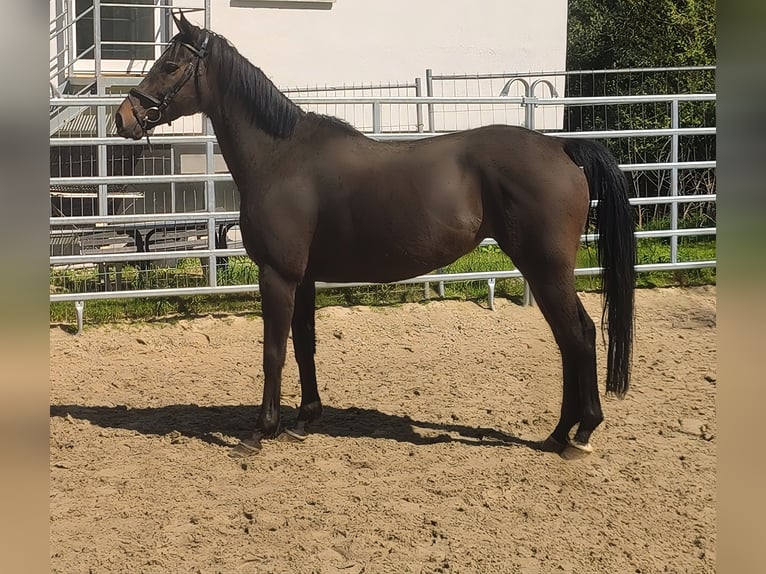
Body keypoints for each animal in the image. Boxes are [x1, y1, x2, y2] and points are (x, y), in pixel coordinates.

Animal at [115, 12, 636, 460]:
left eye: (170, 64)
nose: (123, 117)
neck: (281, 158)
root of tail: (562, 147)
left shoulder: (277, 275)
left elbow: (273, 351)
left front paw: (261, 431)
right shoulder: (304, 278)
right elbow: (304, 345)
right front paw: (303, 421)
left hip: (546, 269)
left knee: (577, 336)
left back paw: (575, 434)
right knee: (573, 338)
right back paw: (565, 433)